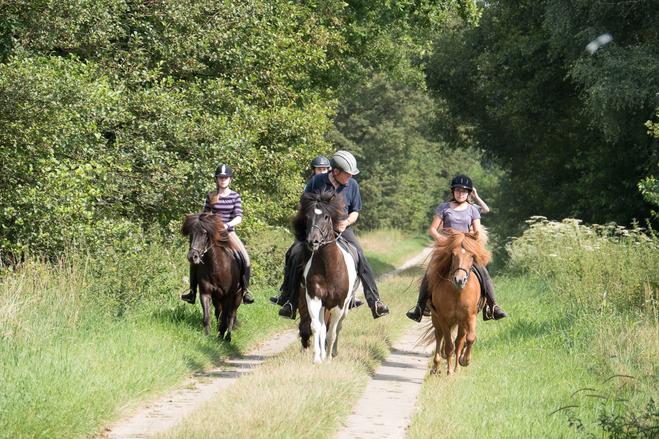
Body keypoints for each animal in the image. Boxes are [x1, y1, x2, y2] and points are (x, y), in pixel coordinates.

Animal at [294, 191, 360, 362]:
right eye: (308, 216)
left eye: (326, 216)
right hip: (323, 305)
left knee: (338, 327)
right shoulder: (314, 299)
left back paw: (333, 352)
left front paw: (329, 358)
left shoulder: (339, 304)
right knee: (323, 327)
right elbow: (316, 327)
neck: (328, 268)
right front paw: (318, 358)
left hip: (345, 306)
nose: (313, 241)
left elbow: (332, 332)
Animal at [426, 229, 492, 376]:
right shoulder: (443, 319)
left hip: (459, 322)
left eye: (472, 255)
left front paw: (464, 361)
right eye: (453, 254)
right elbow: (449, 345)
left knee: (459, 340)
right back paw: (437, 366)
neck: (457, 292)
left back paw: (456, 365)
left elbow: (469, 338)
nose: (459, 280)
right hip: (436, 318)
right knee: (439, 337)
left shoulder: (470, 317)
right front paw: (449, 371)